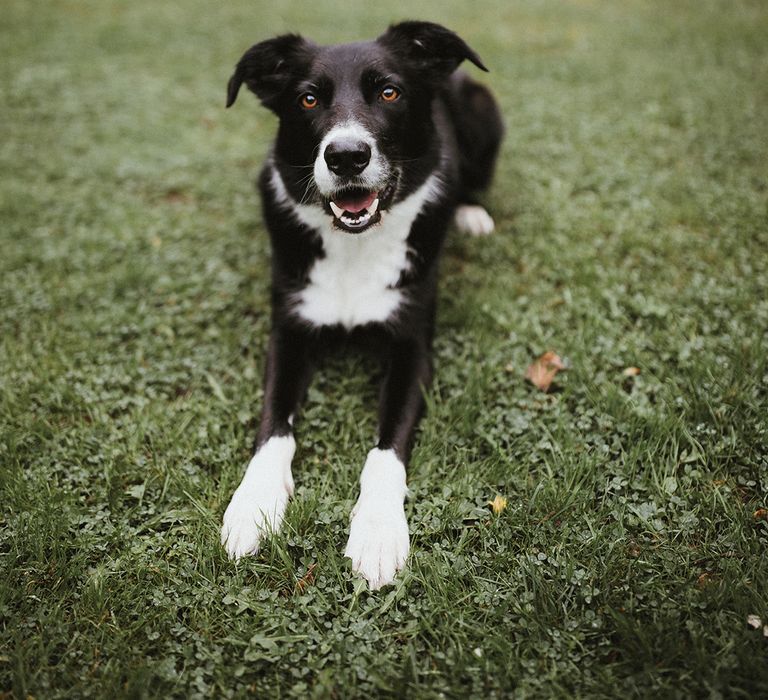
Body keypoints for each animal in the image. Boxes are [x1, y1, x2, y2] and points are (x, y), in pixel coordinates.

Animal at [219, 21, 504, 588]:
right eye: (308, 99)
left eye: (389, 93)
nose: (347, 156)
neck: (354, 244)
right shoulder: (288, 331)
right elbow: (272, 427)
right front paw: (253, 505)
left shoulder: (412, 347)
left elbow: (385, 451)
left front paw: (377, 532)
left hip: (484, 111)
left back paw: (471, 213)